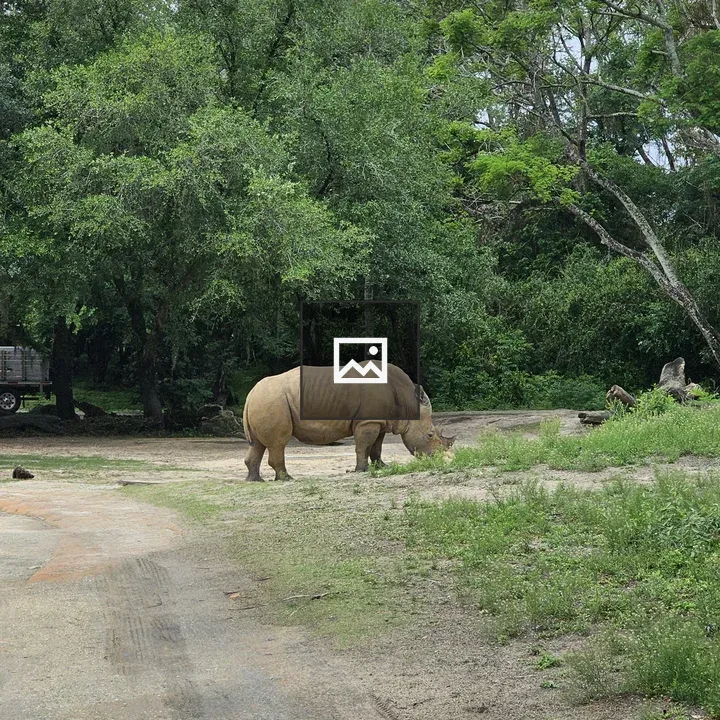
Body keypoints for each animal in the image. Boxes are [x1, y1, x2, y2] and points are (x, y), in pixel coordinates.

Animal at [242, 364, 454, 481]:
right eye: (430, 435)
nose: (438, 458)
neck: (407, 402)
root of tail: (250, 394)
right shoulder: (367, 422)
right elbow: (363, 445)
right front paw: (361, 470)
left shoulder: (379, 421)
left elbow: (376, 447)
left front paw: (382, 467)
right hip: (272, 401)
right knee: (279, 443)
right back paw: (286, 478)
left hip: (264, 401)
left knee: (258, 444)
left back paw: (255, 480)